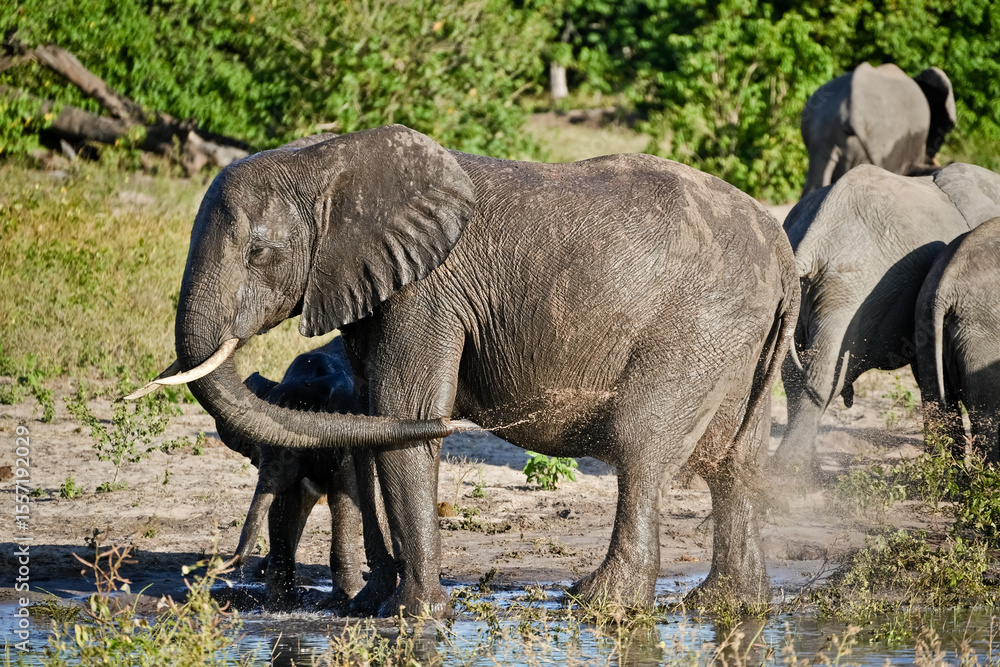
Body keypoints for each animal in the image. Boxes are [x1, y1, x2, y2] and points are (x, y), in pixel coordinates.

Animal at [225, 335, 368, 609]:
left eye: (291, 454)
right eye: (257, 449)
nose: (233, 564)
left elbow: (344, 495)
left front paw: (348, 598)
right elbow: (285, 503)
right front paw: (280, 605)